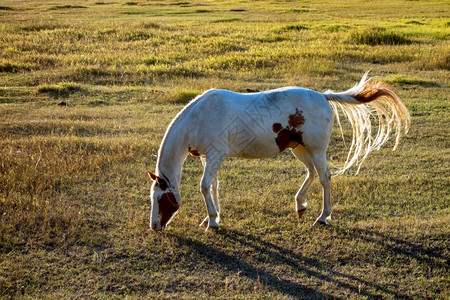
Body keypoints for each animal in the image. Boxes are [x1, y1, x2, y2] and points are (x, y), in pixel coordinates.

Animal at [149, 72, 412, 232]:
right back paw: (300, 205)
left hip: (316, 150)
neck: (200, 117)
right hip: (300, 149)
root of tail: (323, 96)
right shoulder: (208, 157)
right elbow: (213, 186)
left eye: (161, 199)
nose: (154, 226)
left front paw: (212, 222)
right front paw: (211, 217)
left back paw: (323, 216)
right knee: (312, 173)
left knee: (324, 177)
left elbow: (204, 186)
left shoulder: (215, 154)